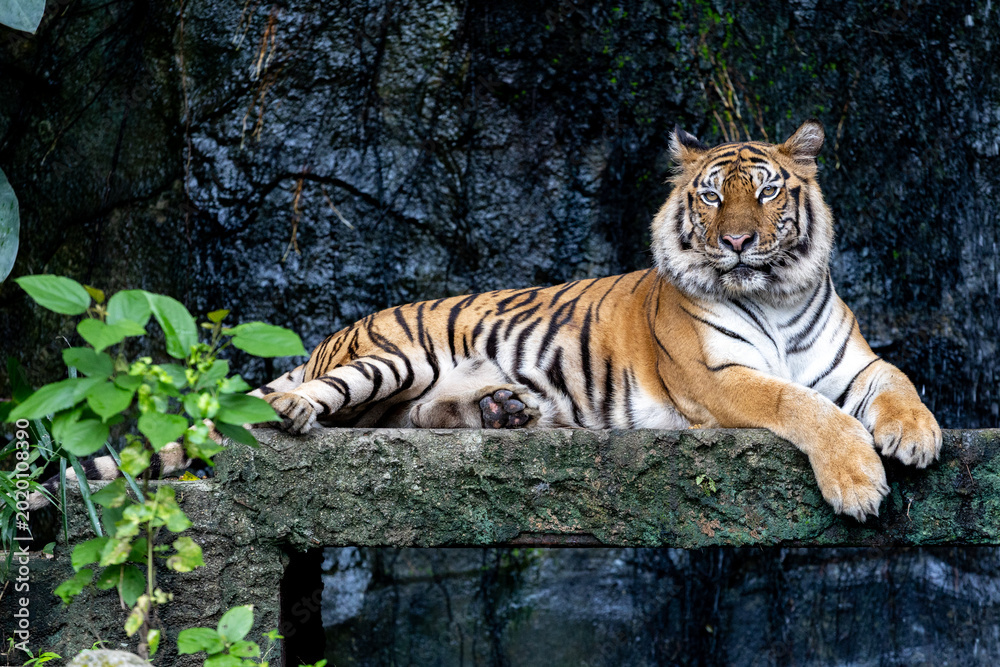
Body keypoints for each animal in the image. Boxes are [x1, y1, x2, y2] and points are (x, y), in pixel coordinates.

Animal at [32, 120, 941, 522]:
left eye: (770, 191)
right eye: (714, 196)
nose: (741, 241)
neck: (777, 295)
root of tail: (333, 333)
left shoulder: (850, 359)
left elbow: (896, 379)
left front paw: (916, 434)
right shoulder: (719, 380)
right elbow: (803, 407)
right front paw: (859, 482)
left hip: (417, 385)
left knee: (413, 414)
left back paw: (506, 410)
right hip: (387, 357)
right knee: (309, 403)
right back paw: (294, 407)